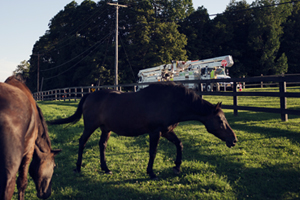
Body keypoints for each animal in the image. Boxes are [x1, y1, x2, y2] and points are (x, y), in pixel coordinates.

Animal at [49, 82, 237, 179]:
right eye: (220, 120)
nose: (233, 139)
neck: (172, 102)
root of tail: (90, 94)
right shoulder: (155, 132)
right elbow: (153, 152)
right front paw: (151, 172)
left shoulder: (166, 131)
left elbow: (180, 144)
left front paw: (177, 167)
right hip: (90, 126)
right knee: (82, 142)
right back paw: (78, 167)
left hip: (105, 129)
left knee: (102, 145)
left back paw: (106, 168)